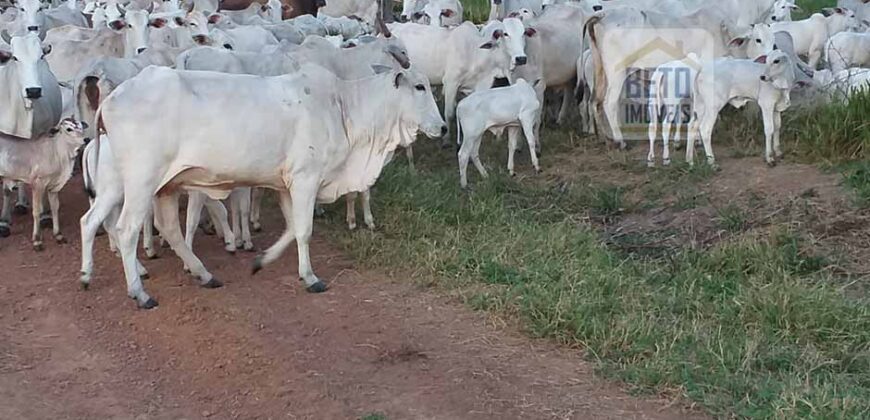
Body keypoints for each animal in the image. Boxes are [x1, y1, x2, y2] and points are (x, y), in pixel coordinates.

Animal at [0, 118, 87, 249]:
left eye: (81, 126)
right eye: (69, 129)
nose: (85, 140)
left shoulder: (53, 187)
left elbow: (55, 208)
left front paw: (58, 234)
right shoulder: (37, 184)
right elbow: (36, 212)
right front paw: (37, 240)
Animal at [81, 65, 446, 308]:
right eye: (419, 87)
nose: (443, 127)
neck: (343, 107)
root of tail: (112, 97)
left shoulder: (287, 184)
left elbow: (293, 227)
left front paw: (261, 261)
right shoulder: (306, 178)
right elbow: (304, 230)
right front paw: (310, 277)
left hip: (162, 186)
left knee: (153, 227)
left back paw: (200, 274)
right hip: (140, 181)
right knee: (126, 229)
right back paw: (139, 292)